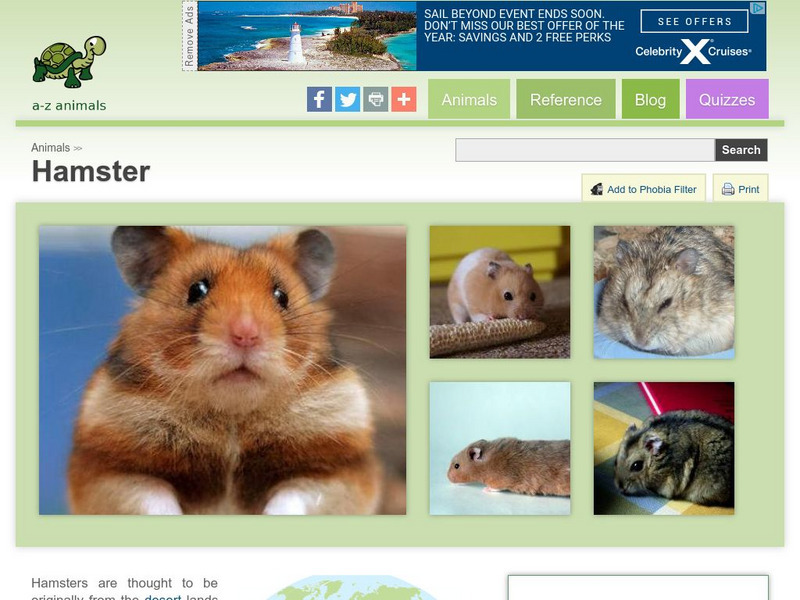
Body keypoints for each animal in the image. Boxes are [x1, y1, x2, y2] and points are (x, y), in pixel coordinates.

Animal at [68, 226, 380, 515]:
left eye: (282, 296)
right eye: (196, 290)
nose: (246, 335)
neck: (233, 415)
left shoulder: (336, 471)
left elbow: (292, 499)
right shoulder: (111, 471)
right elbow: (153, 500)